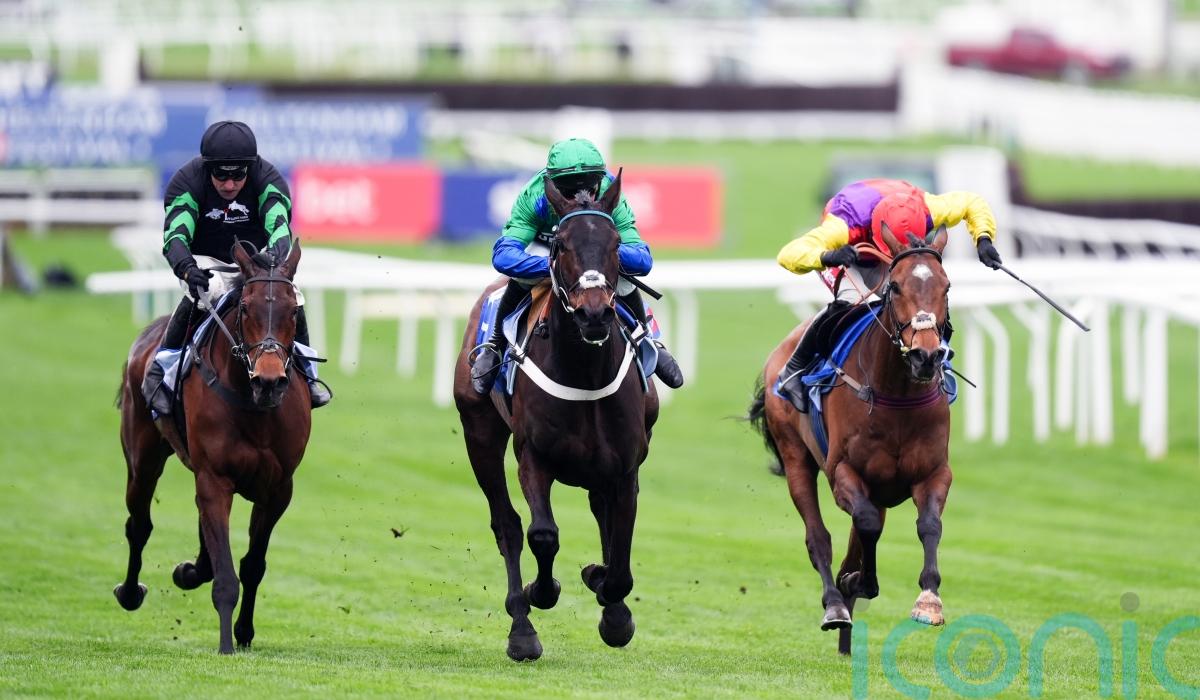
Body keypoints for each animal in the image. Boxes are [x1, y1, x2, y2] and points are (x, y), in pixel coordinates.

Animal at [113, 241, 311, 655]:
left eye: (293, 310)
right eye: (247, 307)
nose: (270, 380)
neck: (254, 406)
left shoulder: (278, 489)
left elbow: (252, 565)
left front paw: (244, 631)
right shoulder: (215, 479)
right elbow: (225, 575)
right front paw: (225, 645)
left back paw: (191, 570)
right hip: (142, 460)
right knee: (139, 524)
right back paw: (130, 592)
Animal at [453, 171, 659, 661]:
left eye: (616, 243)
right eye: (561, 244)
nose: (594, 312)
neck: (585, 374)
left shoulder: (626, 467)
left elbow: (621, 556)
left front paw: (610, 604)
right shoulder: (534, 458)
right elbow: (542, 534)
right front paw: (541, 592)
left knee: (600, 513)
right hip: (479, 434)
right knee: (507, 525)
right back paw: (522, 629)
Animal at [747, 224, 954, 655]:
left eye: (945, 286)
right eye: (895, 286)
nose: (926, 357)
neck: (896, 395)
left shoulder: (934, 473)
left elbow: (929, 524)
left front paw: (928, 599)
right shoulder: (844, 472)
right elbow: (866, 524)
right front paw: (858, 583)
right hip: (796, 457)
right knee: (819, 538)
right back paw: (836, 605)